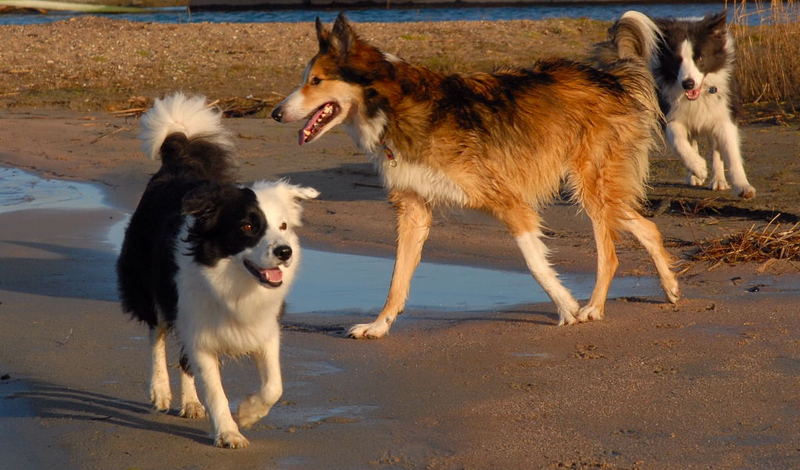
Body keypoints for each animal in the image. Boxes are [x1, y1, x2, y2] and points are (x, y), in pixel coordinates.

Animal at [117, 92, 318, 448]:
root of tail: (179, 157)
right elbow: (215, 390)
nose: (285, 252)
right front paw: (228, 431)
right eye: (248, 226)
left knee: (182, 360)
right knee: (156, 334)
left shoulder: (264, 329)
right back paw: (160, 391)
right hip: (154, 290)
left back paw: (190, 403)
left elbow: (274, 386)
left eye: (283, 226)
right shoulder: (199, 331)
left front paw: (249, 413)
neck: (234, 281)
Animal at [272, 14, 680, 338]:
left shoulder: (510, 202)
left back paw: (594, 307)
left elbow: (536, 264)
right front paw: (378, 326)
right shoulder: (413, 210)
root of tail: (609, 79)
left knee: (609, 255)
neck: (394, 106)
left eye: (316, 81)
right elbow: (397, 279)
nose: (276, 114)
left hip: (589, 185)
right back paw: (671, 288)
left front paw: (568, 309)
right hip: (600, 188)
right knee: (648, 227)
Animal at [600, 10, 756, 198]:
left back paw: (718, 180)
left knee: (715, 148)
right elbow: (679, 142)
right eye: (677, 60)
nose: (688, 84)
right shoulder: (670, 114)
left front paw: (743, 186)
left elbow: (731, 153)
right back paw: (694, 174)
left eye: (700, 58)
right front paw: (698, 167)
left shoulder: (724, 115)